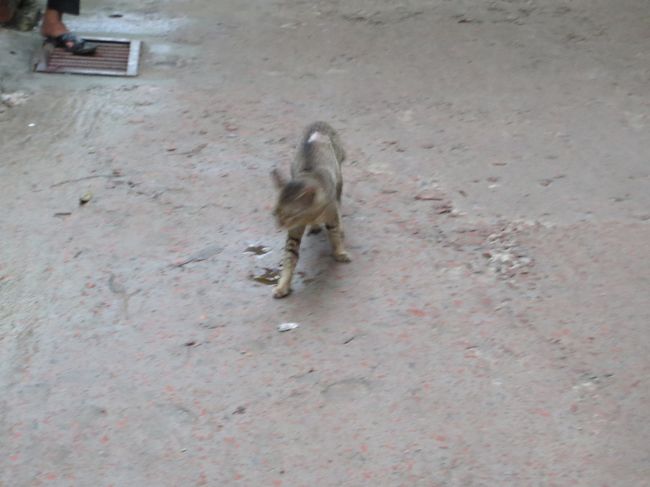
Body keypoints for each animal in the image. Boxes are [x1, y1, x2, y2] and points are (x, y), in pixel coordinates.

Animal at [268, 122, 350, 298]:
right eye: (275, 214)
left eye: (290, 215)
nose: (279, 225)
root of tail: (319, 123)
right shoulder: (294, 233)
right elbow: (289, 257)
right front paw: (283, 285)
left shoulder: (331, 215)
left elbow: (334, 235)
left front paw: (339, 252)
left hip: (339, 178)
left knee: (339, 203)